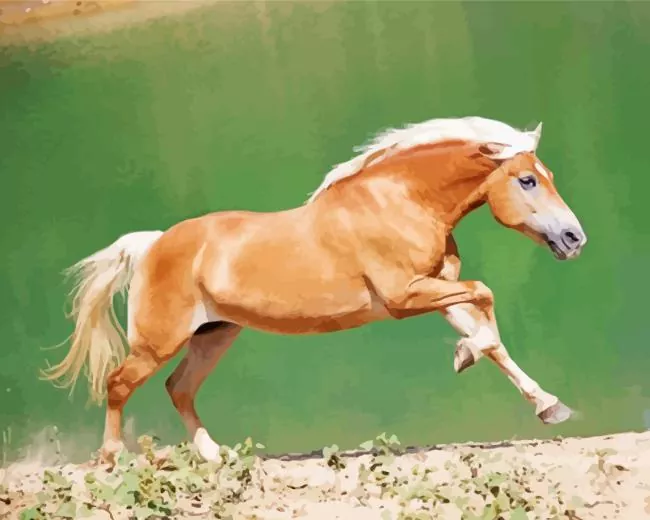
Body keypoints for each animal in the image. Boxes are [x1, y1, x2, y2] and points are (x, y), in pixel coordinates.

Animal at [42, 116, 587, 464]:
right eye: (526, 181)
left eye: (545, 176)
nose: (574, 238)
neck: (401, 201)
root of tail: (153, 244)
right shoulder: (405, 296)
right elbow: (486, 295)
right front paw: (463, 356)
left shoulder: (437, 290)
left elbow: (490, 337)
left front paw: (548, 405)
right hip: (159, 341)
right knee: (118, 384)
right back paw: (110, 459)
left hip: (215, 334)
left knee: (179, 388)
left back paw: (214, 455)